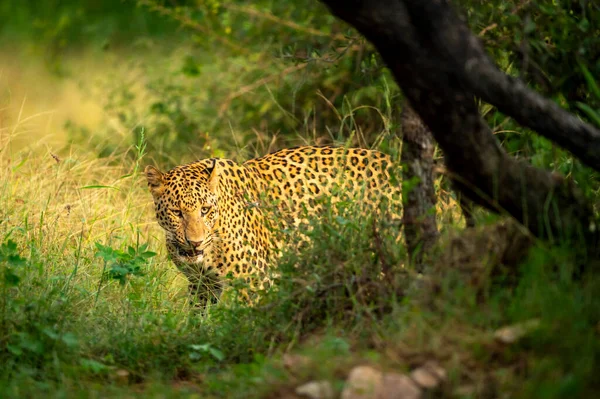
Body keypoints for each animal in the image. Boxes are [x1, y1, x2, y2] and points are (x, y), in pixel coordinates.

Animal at [143, 145, 400, 304]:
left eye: (204, 210)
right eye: (177, 212)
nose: (194, 242)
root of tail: (394, 163)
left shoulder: (256, 282)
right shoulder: (202, 284)